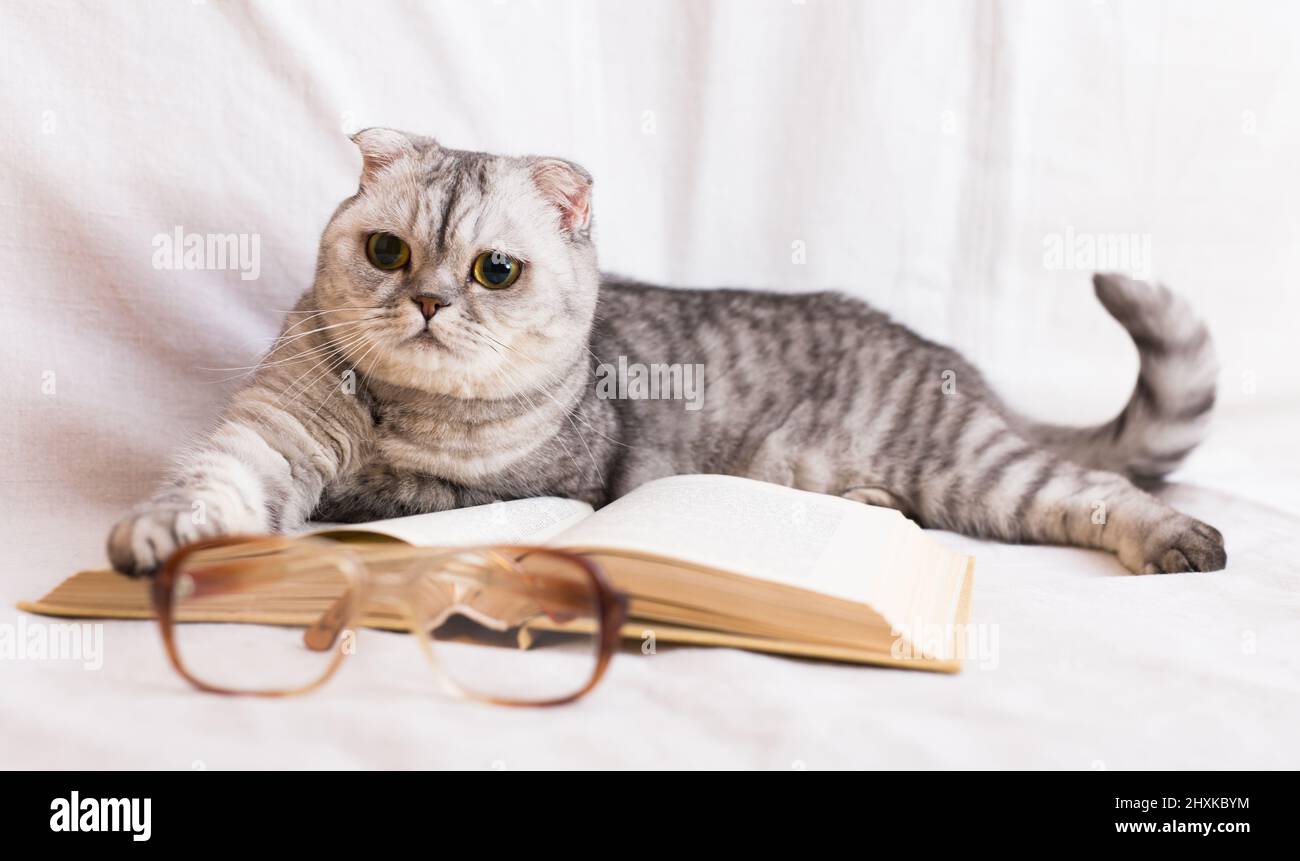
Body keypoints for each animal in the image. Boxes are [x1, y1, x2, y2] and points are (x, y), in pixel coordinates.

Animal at [106, 128, 1222, 580]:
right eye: (386, 252)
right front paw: (158, 541)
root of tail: (954, 360)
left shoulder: (530, 484)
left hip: (972, 468)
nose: (424, 301)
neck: (393, 412)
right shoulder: (265, 433)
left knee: (1100, 492)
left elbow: (404, 494)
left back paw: (1178, 541)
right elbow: (208, 488)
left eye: (493, 271)